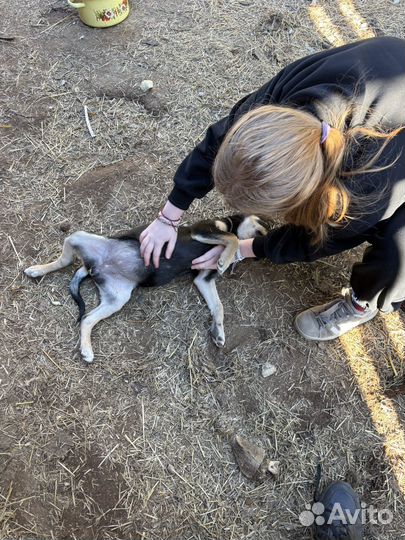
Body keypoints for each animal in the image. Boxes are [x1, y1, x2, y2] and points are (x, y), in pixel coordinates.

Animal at [24, 215, 266, 362]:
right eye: (265, 224)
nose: (260, 253)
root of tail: (93, 267)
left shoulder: (204, 279)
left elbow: (218, 306)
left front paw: (219, 333)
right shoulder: (202, 231)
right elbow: (232, 237)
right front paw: (226, 258)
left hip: (117, 297)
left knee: (87, 318)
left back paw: (86, 349)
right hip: (82, 237)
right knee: (66, 258)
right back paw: (36, 270)